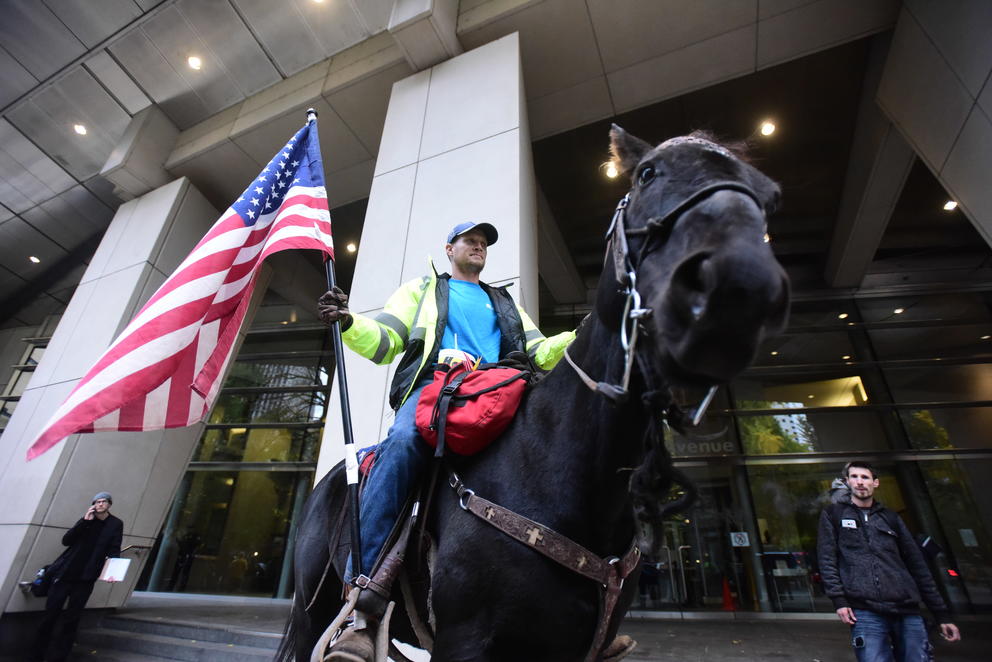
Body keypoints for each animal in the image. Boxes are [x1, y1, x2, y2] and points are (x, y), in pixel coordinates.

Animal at [280, 127, 792, 662]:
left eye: (770, 195)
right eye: (647, 174)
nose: (740, 283)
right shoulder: (463, 639)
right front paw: (341, 314)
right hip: (312, 607)